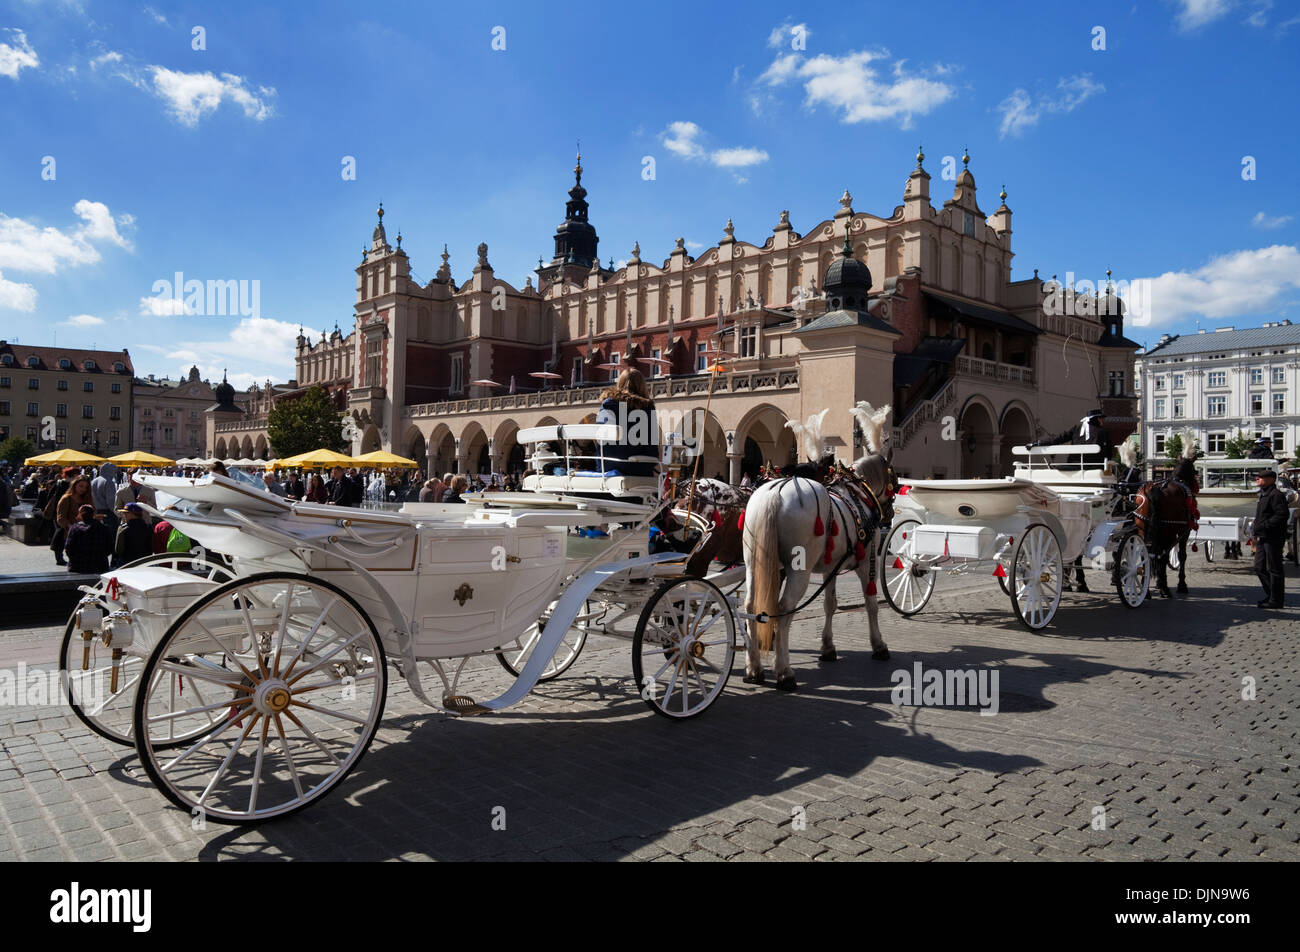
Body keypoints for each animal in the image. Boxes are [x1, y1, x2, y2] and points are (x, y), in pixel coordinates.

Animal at [743, 400, 894, 691]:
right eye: (896, 479)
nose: (889, 515)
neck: (858, 493)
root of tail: (773, 495)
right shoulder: (866, 561)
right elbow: (870, 602)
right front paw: (879, 645)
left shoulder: (830, 567)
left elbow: (830, 604)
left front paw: (827, 648)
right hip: (798, 570)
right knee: (784, 608)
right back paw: (784, 672)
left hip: (753, 563)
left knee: (750, 606)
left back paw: (754, 668)